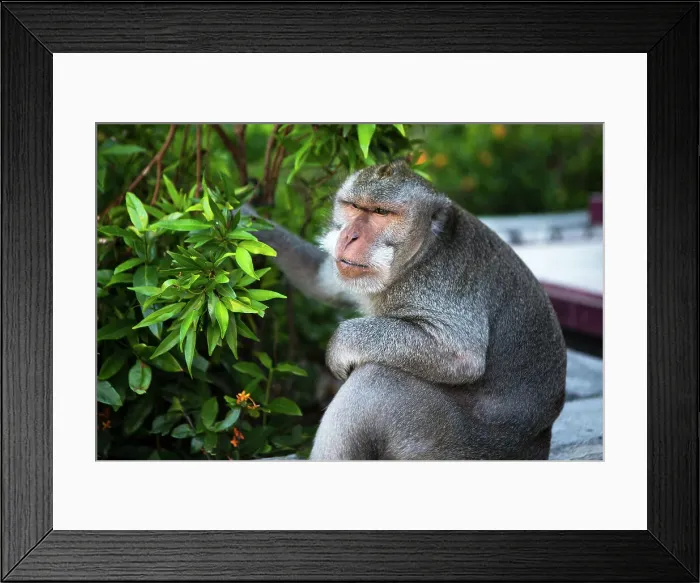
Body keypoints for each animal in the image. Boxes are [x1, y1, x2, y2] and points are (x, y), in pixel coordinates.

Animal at [245, 159, 566, 460]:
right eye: (354, 206)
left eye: (381, 213)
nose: (349, 236)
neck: (420, 256)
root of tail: (539, 446)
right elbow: (321, 279)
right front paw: (246, 218)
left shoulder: (440, 284)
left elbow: (460, 355)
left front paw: (340, 345)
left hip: (448, 443)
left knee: (376, 380)